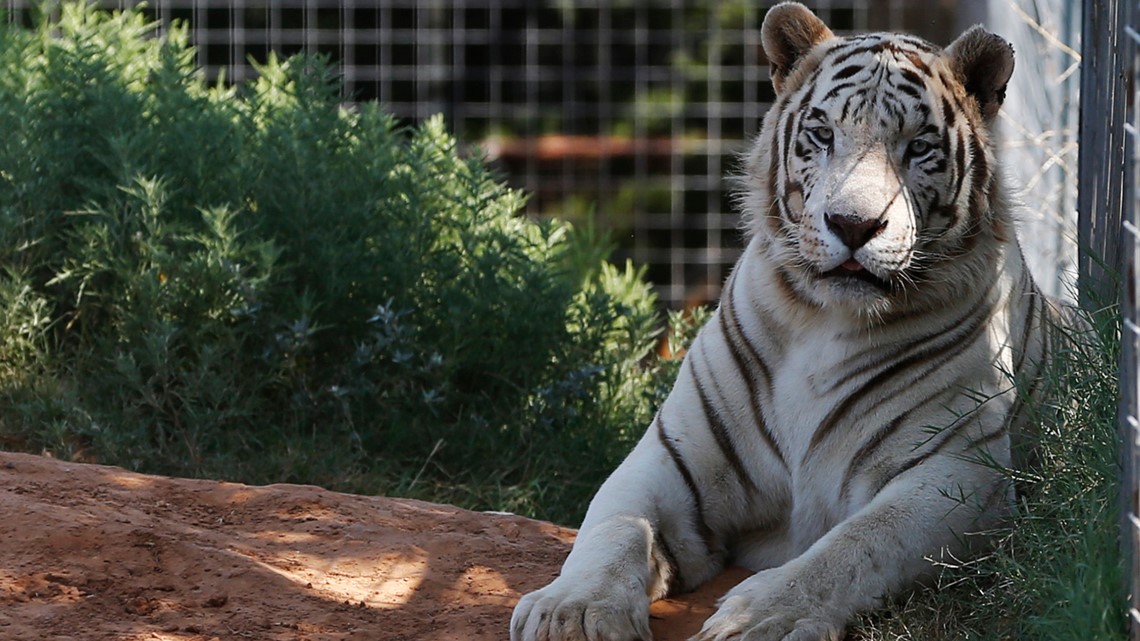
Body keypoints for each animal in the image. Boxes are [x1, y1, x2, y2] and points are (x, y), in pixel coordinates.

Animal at [511, 3, 1067, 641]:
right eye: (823, 134)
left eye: (919, 146)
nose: (852, 224)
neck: (826, 322)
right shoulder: (670, 458)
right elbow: (614, 527)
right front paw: (571, 611)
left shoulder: (958, 471)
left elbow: (855, 546)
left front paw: (761, 617)